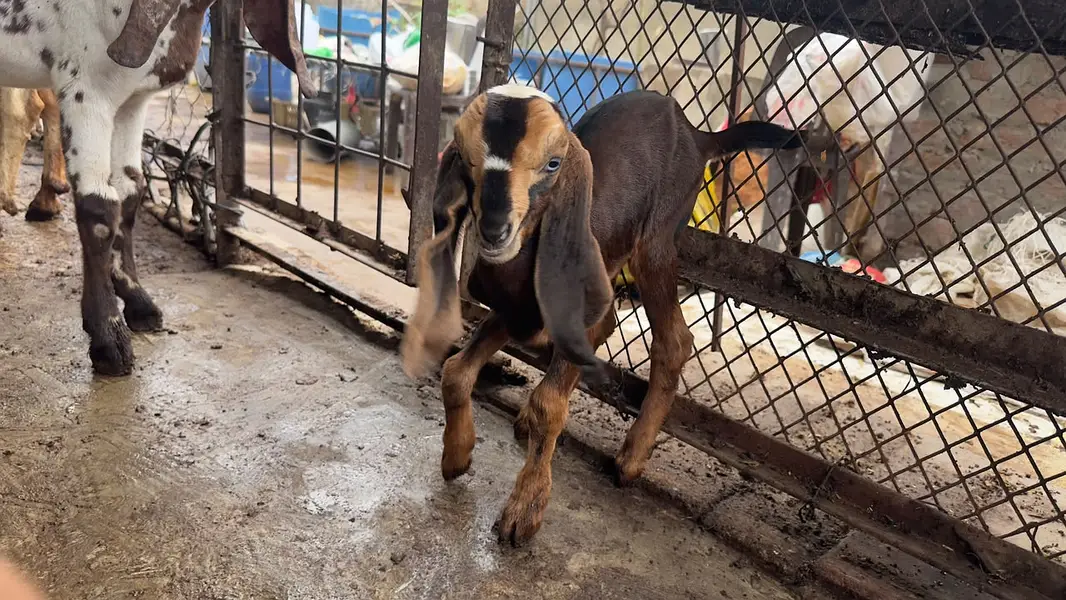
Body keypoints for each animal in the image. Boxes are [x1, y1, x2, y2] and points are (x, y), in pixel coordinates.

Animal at [401, 85, 803, 545]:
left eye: (553, 163)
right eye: (465, 156)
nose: (495, 231)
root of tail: (698, 135)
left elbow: (548, 403)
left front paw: (525, 509)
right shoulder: (511, 313)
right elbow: (456, 372)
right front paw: (456, 455)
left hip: (655, 243)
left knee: (675, 341)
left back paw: (631, 458)